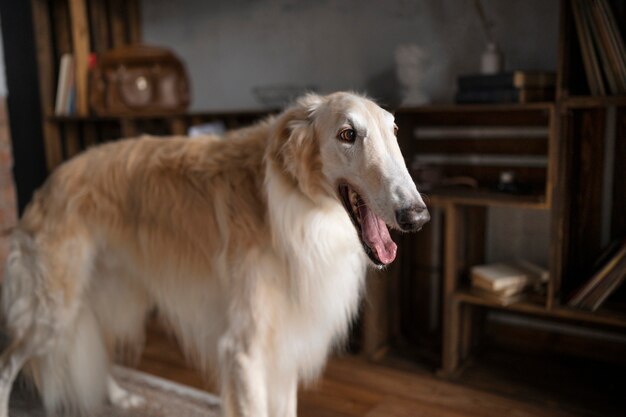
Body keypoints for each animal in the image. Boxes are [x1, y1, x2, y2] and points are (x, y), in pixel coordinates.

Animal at [0, 92, 428, 414]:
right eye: (347, 133)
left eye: (393, 131)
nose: (418, 216)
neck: (286, 207)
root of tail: (48, 184)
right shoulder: (245, 353)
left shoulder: (284, 346)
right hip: (54, 309)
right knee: (7, 363)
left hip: (105, 294)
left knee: (98, 347)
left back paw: (121, 397)